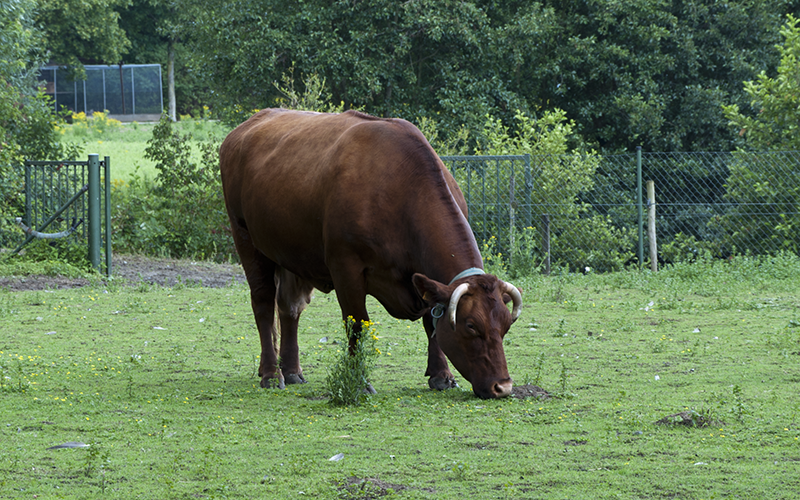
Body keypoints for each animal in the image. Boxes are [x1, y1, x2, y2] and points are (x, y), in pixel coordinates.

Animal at [219, 109, 520, 398]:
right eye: (471, 325)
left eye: (506, 325)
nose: (503, 387)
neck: (400, 190)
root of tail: (244, 128)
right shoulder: (345, 267)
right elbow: (357, 324)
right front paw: (360, 381)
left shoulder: (424, 278)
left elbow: (432, 322)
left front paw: (441, 375)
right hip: (246, 238)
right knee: (263, 303)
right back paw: (271, 373)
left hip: (292, 253)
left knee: (289, 308)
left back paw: (291, 370)